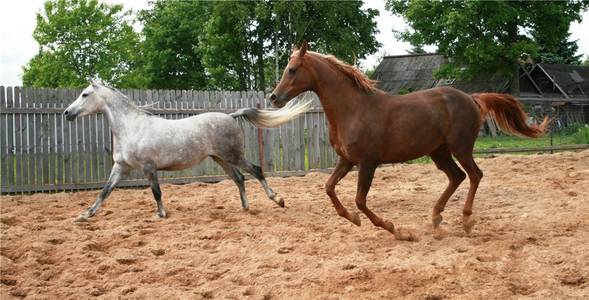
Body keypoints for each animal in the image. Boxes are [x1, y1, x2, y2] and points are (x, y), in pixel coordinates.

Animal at [65, 81, 310, 221]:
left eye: (85, 94)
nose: (67, 112)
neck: (132, 127)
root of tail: (231, 116)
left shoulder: (148, 167)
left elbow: (156, 192)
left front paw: (161, 215)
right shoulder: (121, 167)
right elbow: (105, 191)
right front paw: (85, 215)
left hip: (233, 155)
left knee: (256, 171)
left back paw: (277, 199)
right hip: (220, 159)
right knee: (239, 178)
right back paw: (245, 208)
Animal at [270, 41, 548, 240]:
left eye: (292, 70)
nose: (274, 97)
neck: (353, 109)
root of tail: (471, 97)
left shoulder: (368, 162)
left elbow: (360, 200)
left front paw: (397, 230)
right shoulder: (346, 160)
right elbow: (329, 188)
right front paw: (352, 218)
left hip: (460, 147)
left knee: (474, 175)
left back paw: (467, 221)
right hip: (439, 151)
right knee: (457, 176)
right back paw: (436, 219)